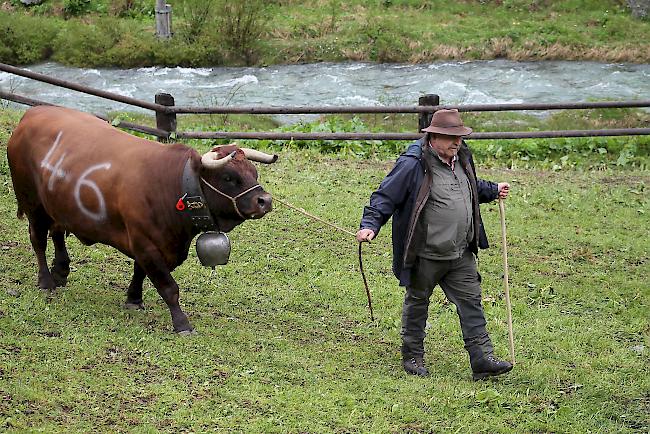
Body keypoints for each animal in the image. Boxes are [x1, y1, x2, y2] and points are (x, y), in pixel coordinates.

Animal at [7, 107, 276, 334]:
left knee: (57, 232)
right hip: (33, 204)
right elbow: (168, 287)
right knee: (38, 240)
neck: (172, 184)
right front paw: (182, 323)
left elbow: (140, 271)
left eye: (254, 173)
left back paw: (61, 271)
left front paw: (133, 299)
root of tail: (32, 113)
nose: (265, 200)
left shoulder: (147, 243)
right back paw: (46, 281)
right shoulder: (145, 243)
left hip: (57, 204)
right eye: (229, 177)